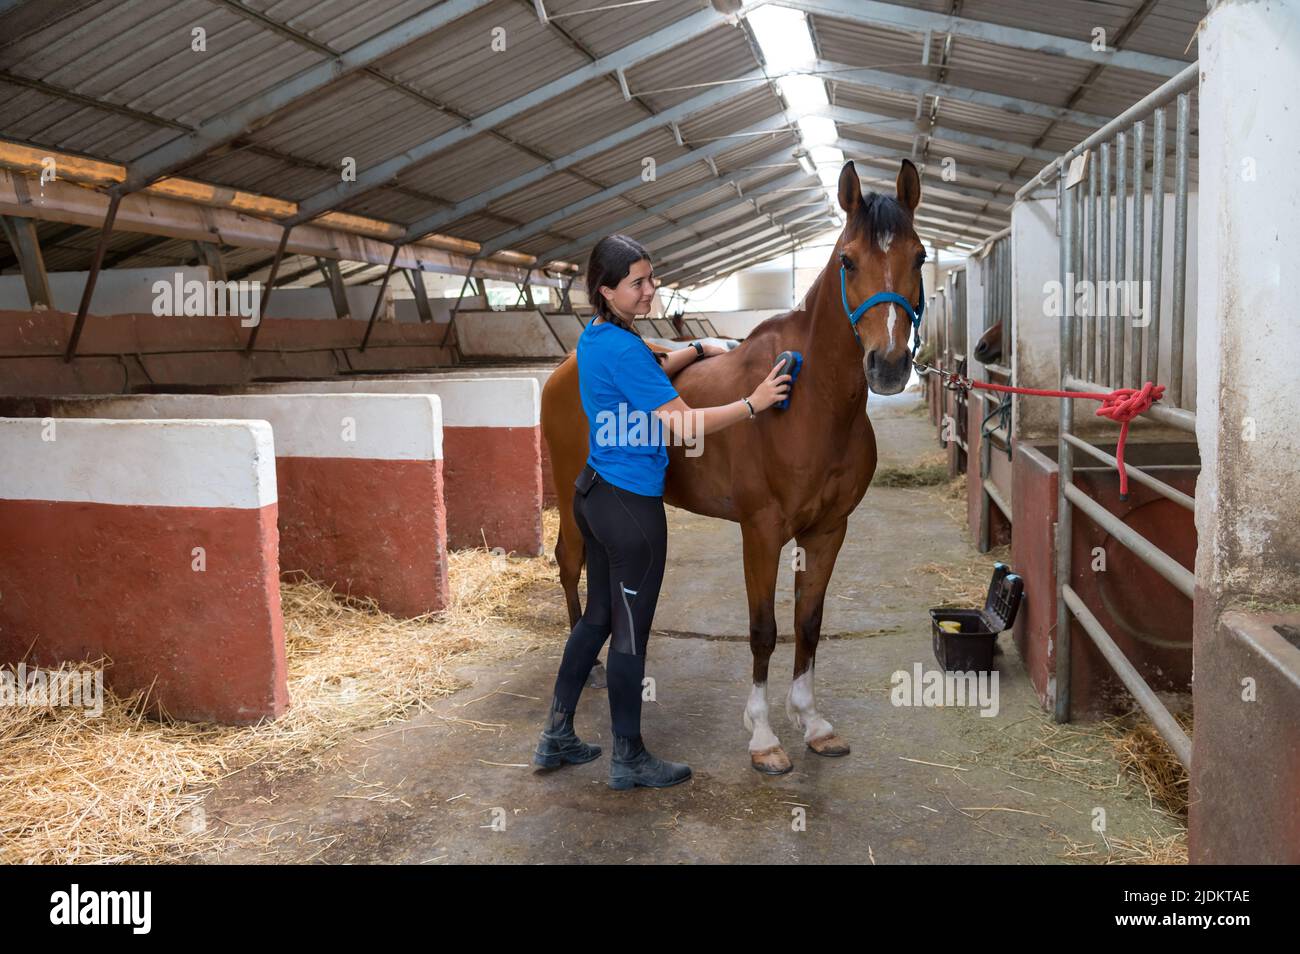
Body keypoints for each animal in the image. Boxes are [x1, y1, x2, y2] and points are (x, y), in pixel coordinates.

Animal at [543, 160, 930, 774]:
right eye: (848, 260)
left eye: (919, 256)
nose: (889, 366)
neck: (810, 402)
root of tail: (564, 367)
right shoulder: (761, 531)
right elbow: (764, 630)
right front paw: (764, 736)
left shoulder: (828, 532)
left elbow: (808, 624)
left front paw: (813, 723)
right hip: (569, 499)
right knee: (569, 563)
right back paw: (596, 668)